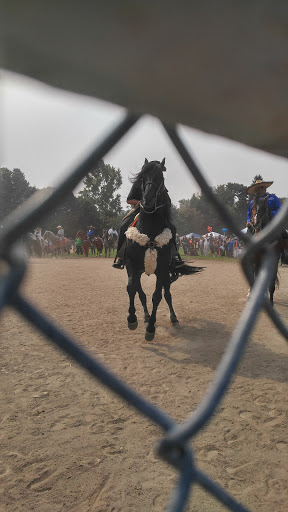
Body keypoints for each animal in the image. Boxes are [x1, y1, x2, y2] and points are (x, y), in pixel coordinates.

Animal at [124, 158, 202, 342]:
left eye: (160, 177)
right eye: (143, 177)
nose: (147, 200)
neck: (149, 230)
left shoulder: (162, 269)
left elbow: (157, 296)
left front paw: (151, 328)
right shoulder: (131, 264)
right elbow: (132, 289)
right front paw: (132, 319)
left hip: (166, 273)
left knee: (167, 294)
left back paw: (173, 318)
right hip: (140, 271)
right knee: (140, 292)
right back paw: (145, 317)